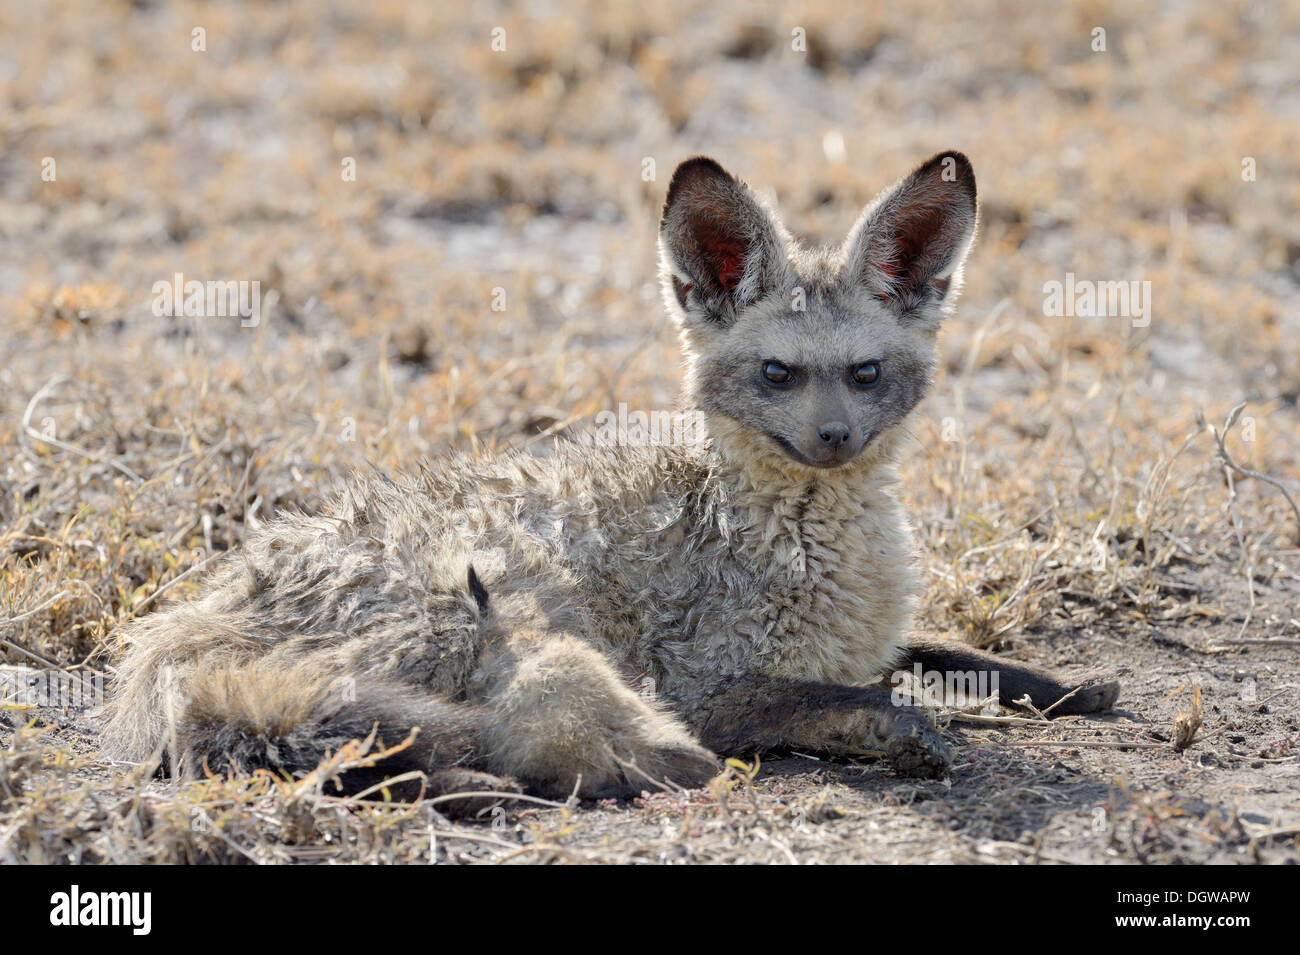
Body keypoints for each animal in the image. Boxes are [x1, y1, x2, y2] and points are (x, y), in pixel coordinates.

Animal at [104, 153, 1118, 810]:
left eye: (865, 373)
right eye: (778, 374)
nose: (831, 439)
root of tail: (200, 607)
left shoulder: (863, 642)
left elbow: (948, 654)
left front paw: (1067, 686)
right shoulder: (706, 688)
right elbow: (856, 698)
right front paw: (911, 734)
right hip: (503, 614)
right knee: (394, 744)